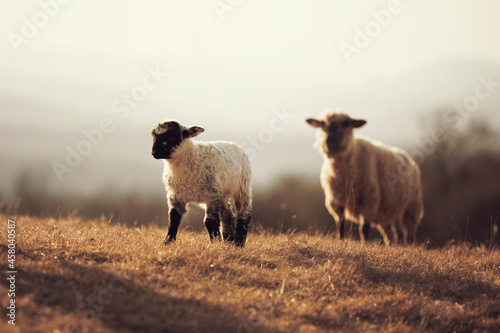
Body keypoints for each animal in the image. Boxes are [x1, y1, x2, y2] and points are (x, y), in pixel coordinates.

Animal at [306, 111, 424, 244]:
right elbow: (340, 225)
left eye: (346, 123)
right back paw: (390, 245)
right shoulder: (336, 202)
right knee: (390, 233)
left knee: (409, 232)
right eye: (322, 124)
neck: (344, 176)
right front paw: (340, 240)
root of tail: (409, 160)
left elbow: (364, 229)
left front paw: (365, 244)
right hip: (383, 213)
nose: (330, 141)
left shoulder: (369, 202)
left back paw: (410, 245)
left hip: (412, 208)